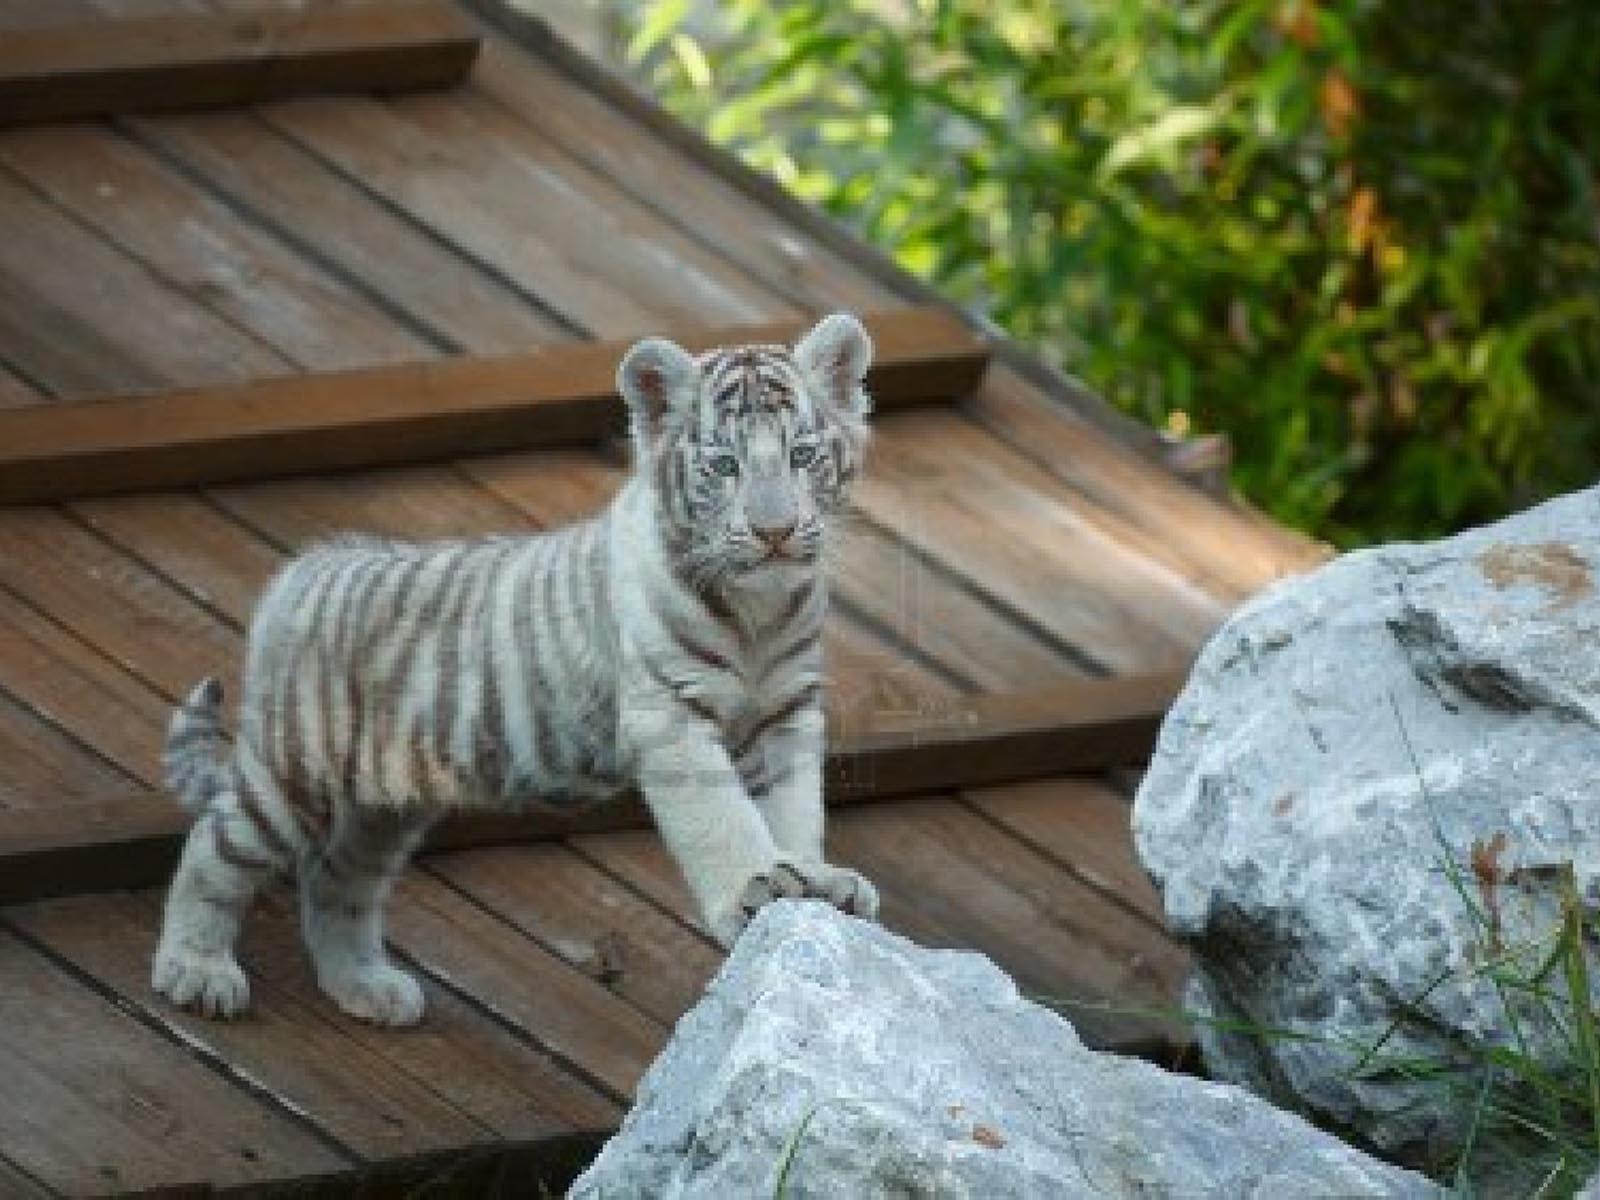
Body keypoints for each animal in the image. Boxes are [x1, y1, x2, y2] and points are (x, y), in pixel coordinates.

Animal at [153, 313, 882, 1026]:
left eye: (802, 455)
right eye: (725, 466)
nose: (774, 532)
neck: (761, 610)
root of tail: (304, 568)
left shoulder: (785, 714)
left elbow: (792, 806)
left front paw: (814, 877)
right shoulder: (671, 715)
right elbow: (721, 817)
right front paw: (757, 884)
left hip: (385, 803)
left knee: (337, 878)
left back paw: (366, 987)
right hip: (296, 765)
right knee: (215, 845)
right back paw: (196, 971)